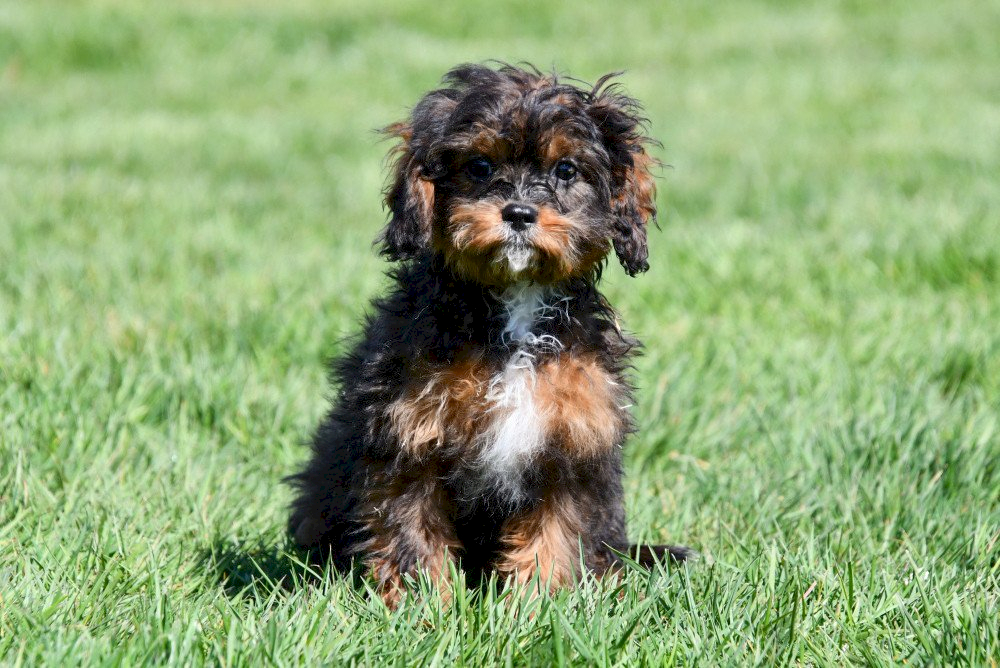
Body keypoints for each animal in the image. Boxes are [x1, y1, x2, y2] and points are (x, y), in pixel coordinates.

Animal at [289, 63, 689, 606]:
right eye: (479, 166)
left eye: (566, 170)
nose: (518, 213)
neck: (515, 310)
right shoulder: (407, 435)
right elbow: (411, 531)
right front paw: (422, 608)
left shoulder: (572, 440)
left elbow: (553, 536)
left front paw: (538, 606)